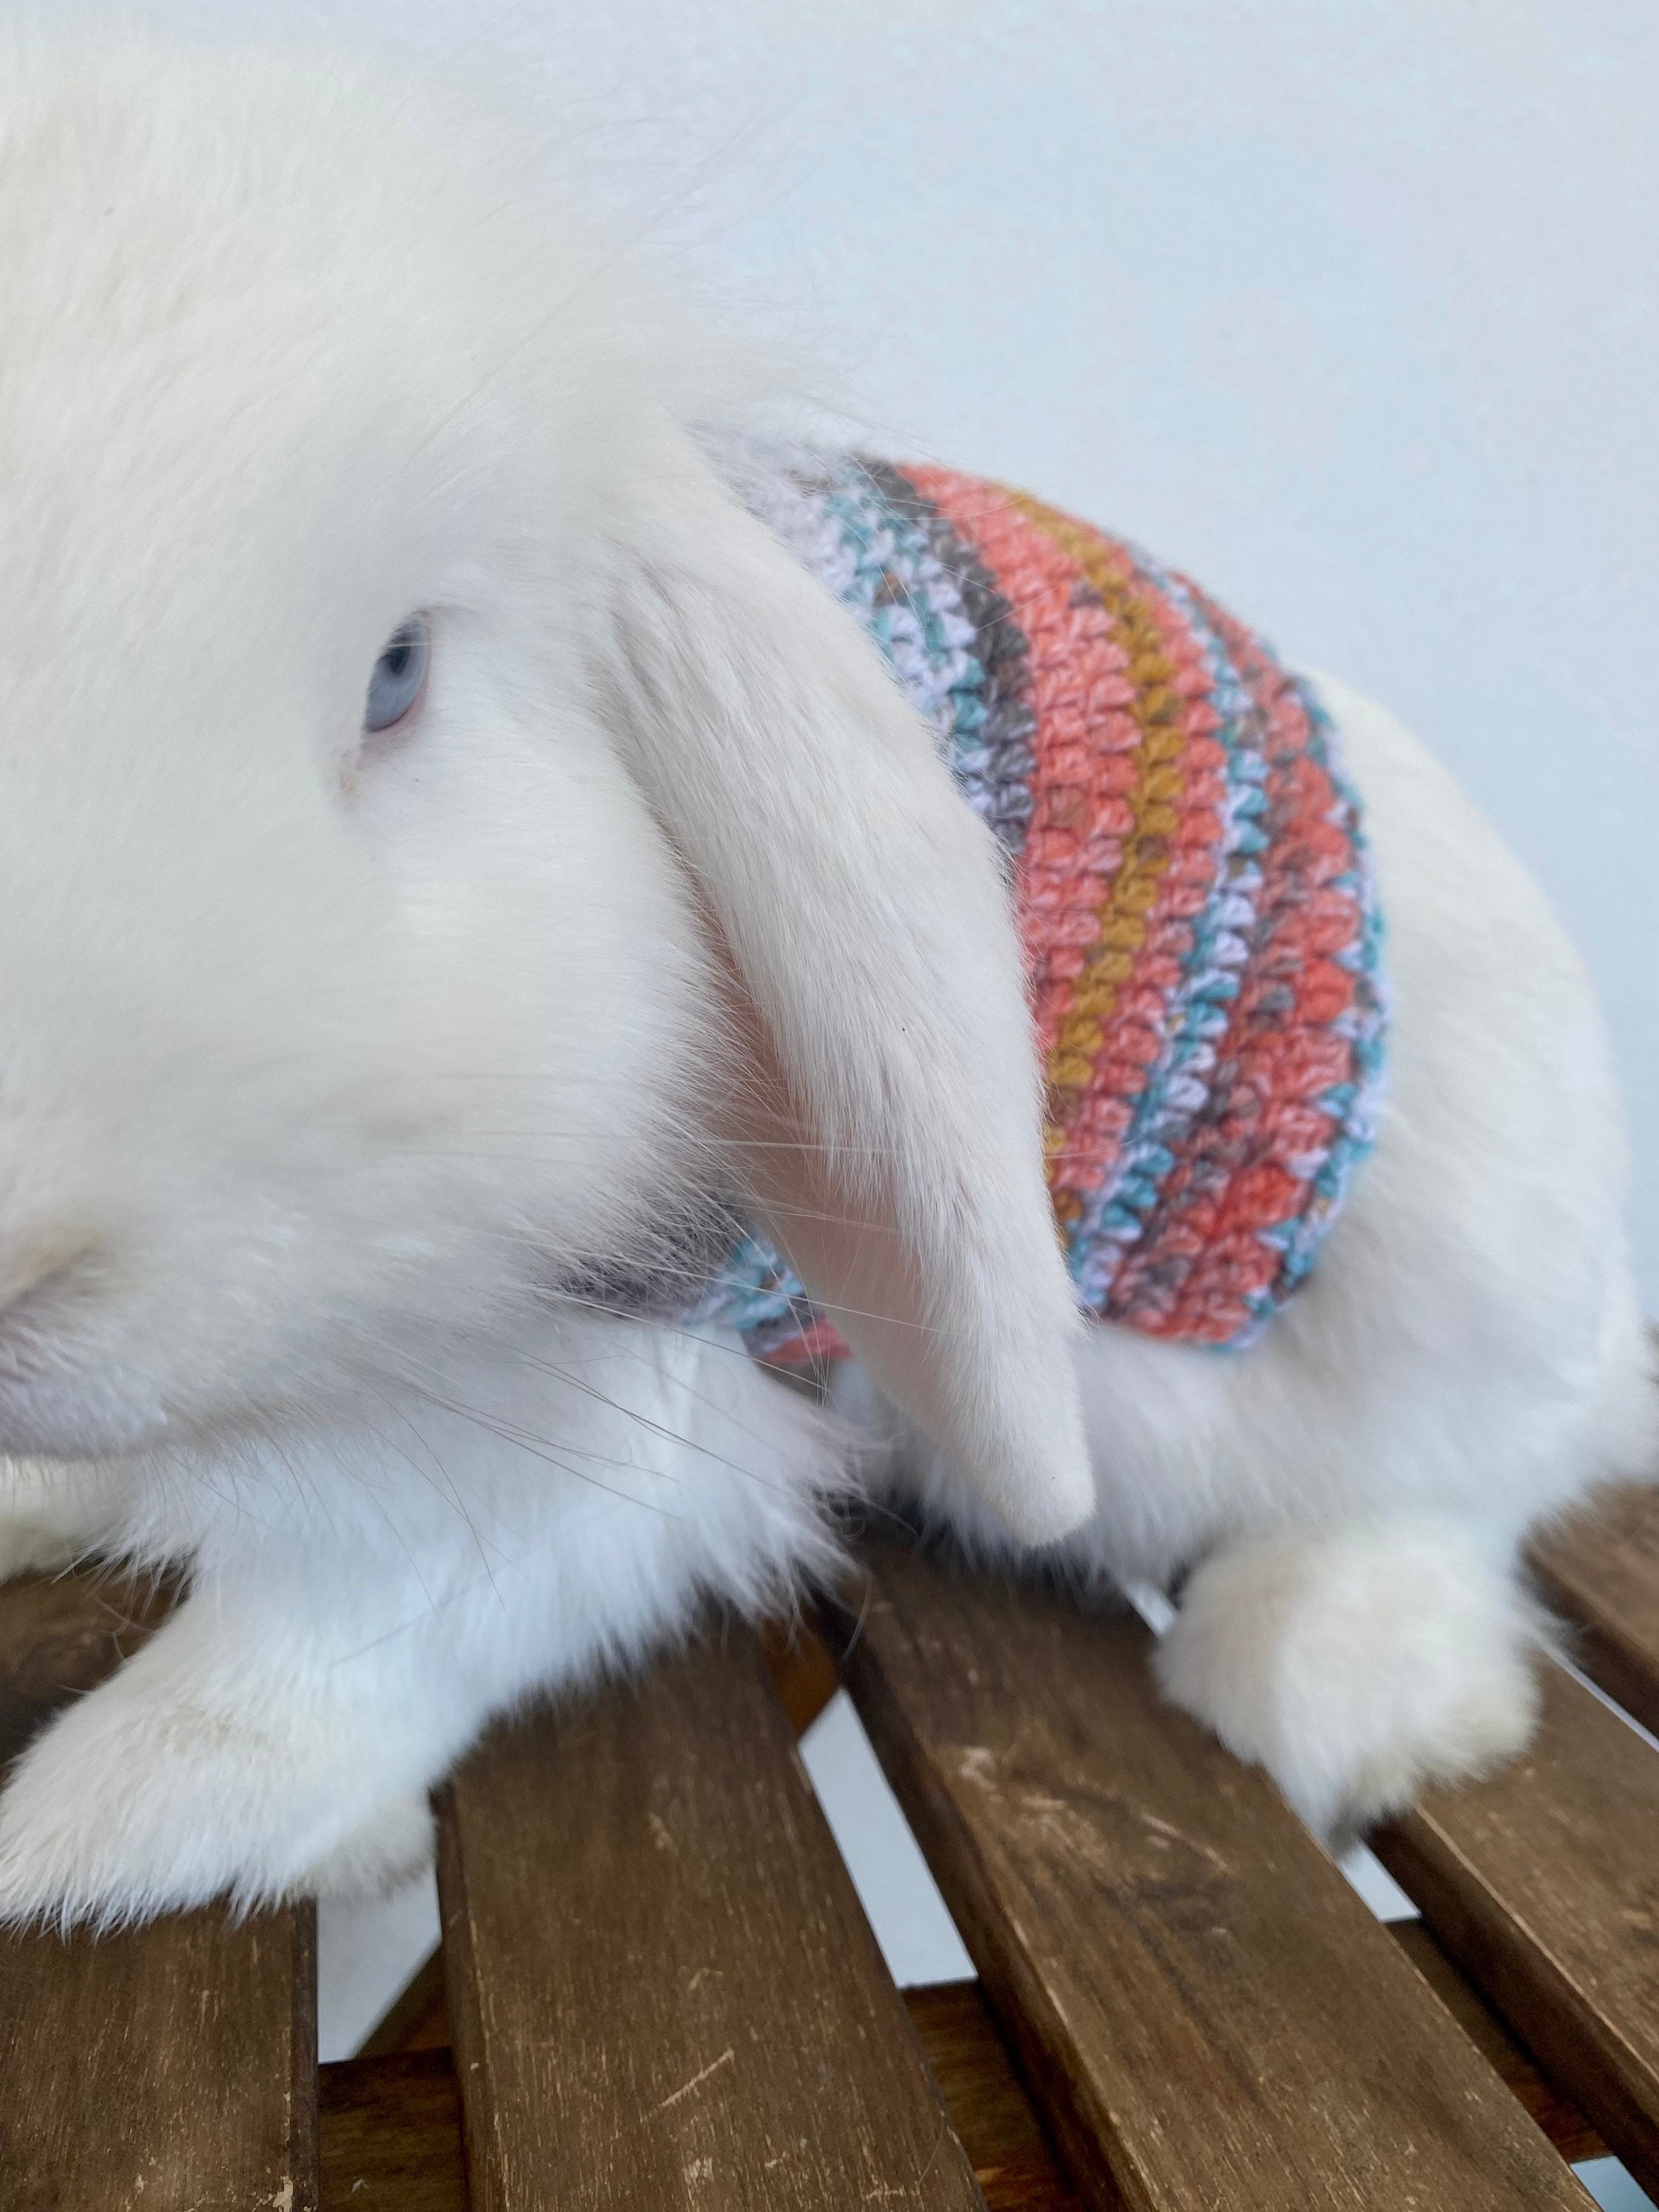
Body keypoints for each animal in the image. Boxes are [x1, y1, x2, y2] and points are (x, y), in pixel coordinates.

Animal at [0, 28, 1648, 1931]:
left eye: (397, 674)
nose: (16, 1262)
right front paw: (35, 1506)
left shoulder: (589, 1400)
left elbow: (361, 1623)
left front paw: (108, 1826)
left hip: (1442, 1301)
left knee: (1466, 1488)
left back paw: (1332, 1684)